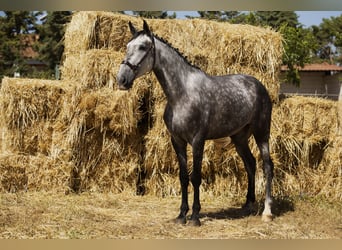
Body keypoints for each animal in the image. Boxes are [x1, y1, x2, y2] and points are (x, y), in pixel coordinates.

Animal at [116, 20, 274, 226]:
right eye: (127, 46)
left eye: (143, 47)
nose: (121, 79)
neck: (182, 94)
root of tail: (258, 85)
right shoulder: (177, 141)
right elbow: (183, 177)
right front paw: (182, 215)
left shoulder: (198, 141)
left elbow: (196, 177)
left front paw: (195, 217)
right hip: (239, 137)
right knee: (251, 164)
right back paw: (248, 205)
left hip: (262, 133)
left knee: (267, 166)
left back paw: (267, 212)